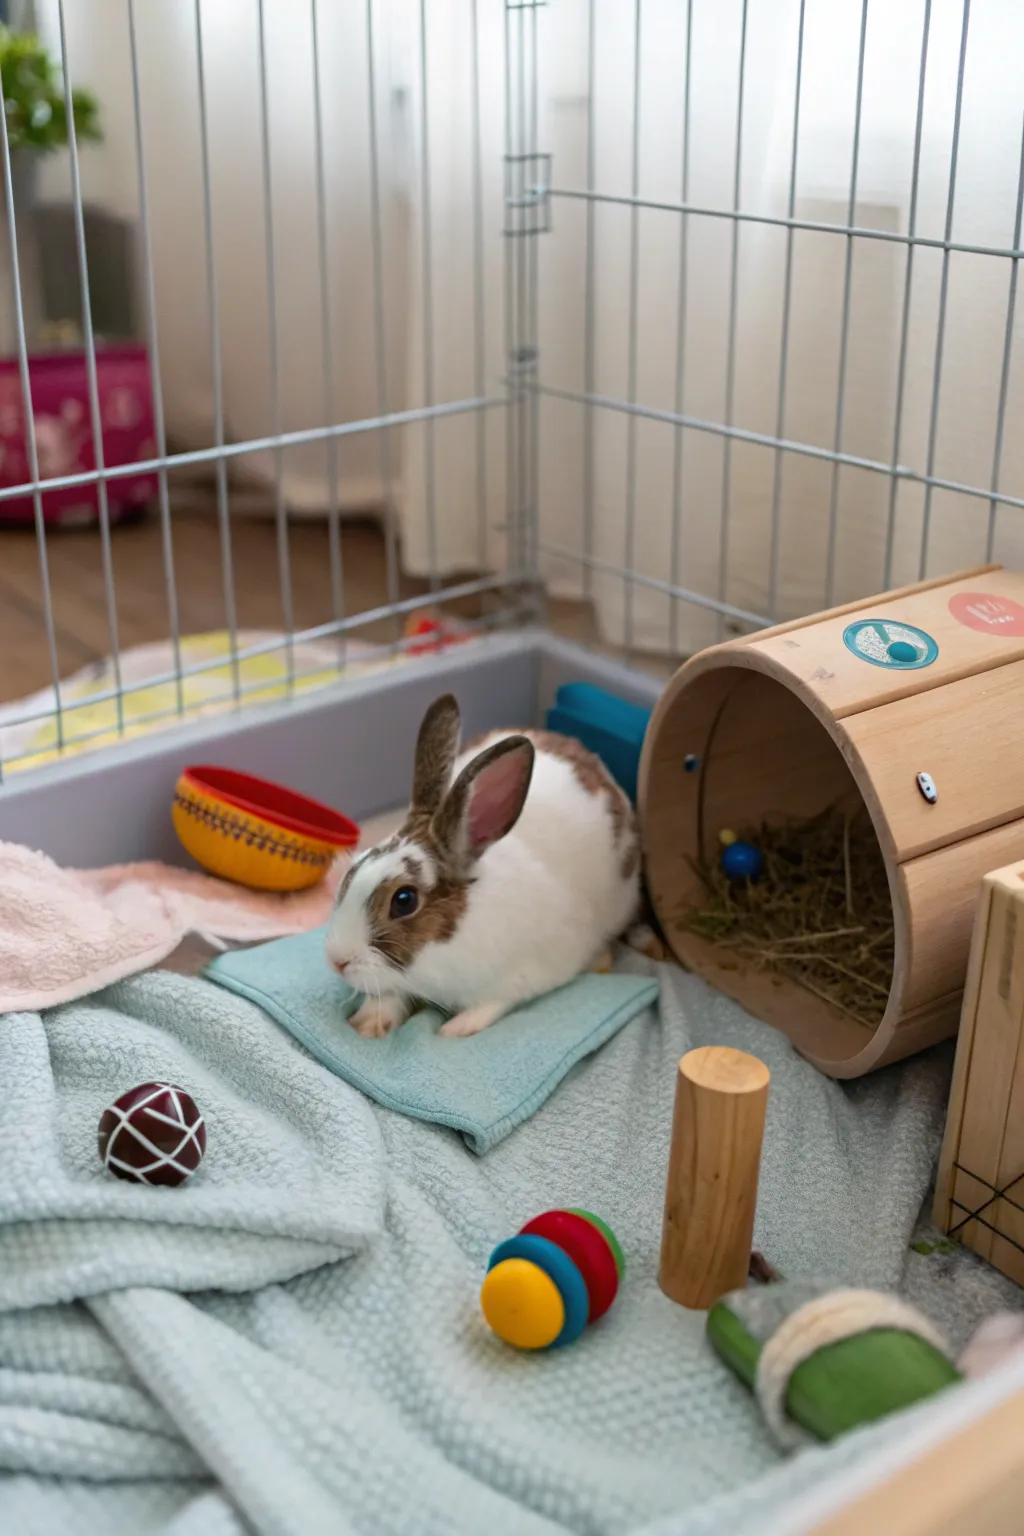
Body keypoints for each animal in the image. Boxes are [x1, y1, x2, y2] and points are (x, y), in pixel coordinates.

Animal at [325, 692, 642, 1039]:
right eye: (352, 870)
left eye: (404, 900)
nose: (337, 961)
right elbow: (393, 994)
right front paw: (368, 1022)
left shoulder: (528, 973)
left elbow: (493, 1004)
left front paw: (455, 1030)